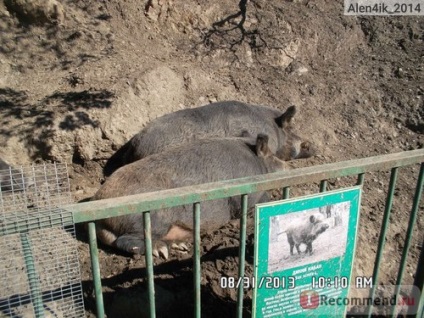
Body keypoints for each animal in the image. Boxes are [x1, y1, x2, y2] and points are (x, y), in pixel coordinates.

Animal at [93, 134, 288, 258]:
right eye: (272, 156)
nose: (288, 166)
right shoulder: (248, 196)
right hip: (149, 219)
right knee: (126, 240)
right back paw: (162, 250)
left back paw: (179, 246)